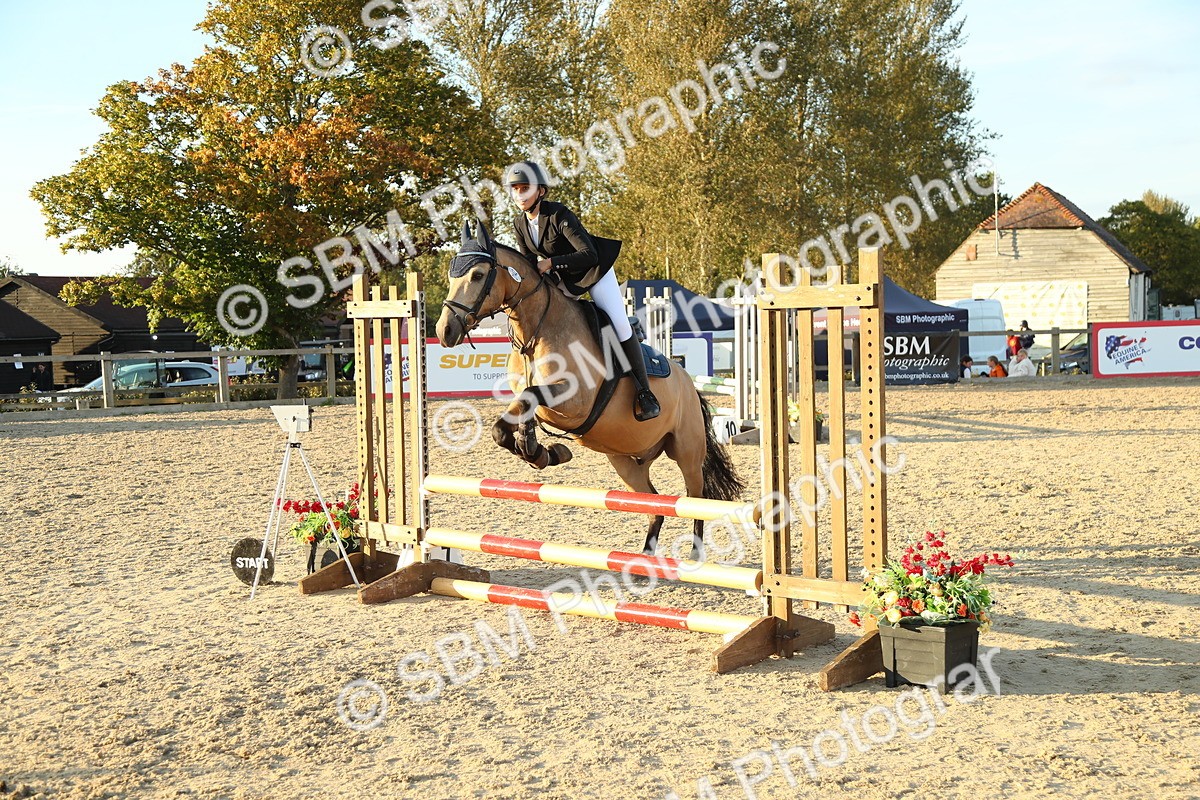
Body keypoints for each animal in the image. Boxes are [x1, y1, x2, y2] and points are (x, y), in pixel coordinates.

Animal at [435, 221, 745, 560]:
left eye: (478, 275)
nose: (444, 331)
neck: (536, 333)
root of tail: (688, 382)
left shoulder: (575, 401)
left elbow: (530, 398)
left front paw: (537, 448)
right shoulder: (530, 399)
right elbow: (507, 423)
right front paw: (542, 452)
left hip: (686, 450)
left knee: (693, 498)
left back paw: (694, 555)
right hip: (626, 461)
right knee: (654, 504)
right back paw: (642, 561)